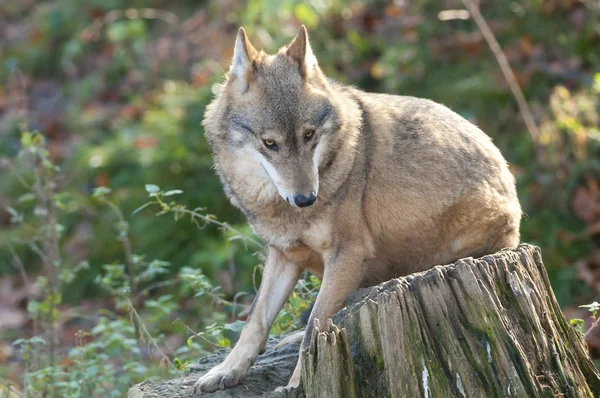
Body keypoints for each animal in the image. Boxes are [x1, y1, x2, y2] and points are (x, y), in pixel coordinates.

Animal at [193, 25, 520, 394]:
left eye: (309, 135)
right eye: (270, 143)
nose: (305, 198)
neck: (281, 210)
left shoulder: (347, 253)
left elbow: (315, 328)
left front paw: (299, 382)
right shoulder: (283, 255)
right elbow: (256, 320)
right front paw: (227, 370)